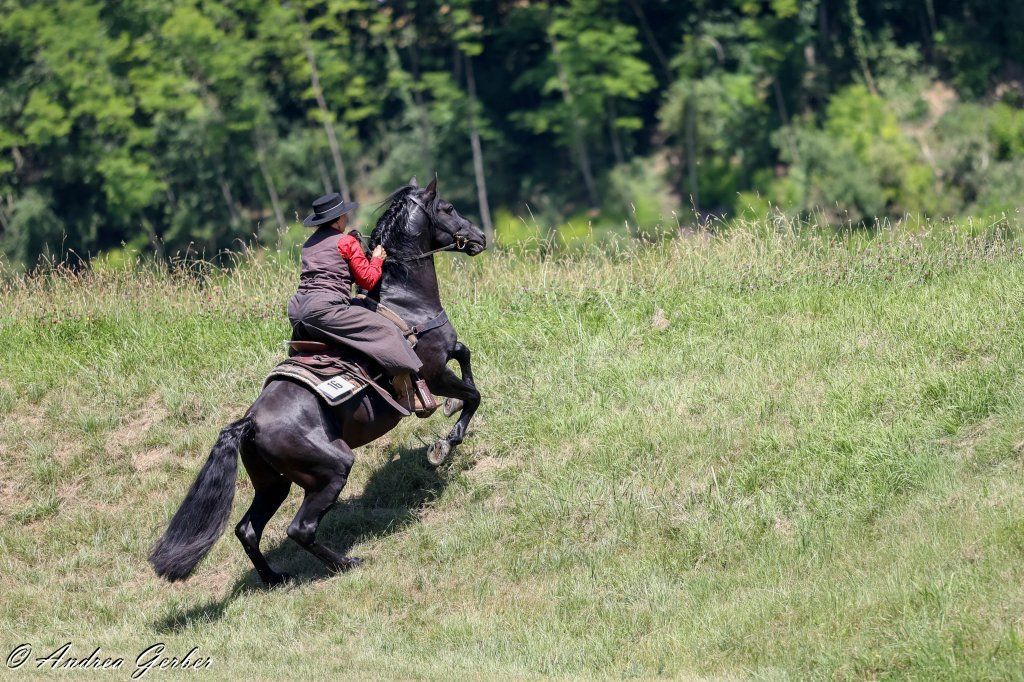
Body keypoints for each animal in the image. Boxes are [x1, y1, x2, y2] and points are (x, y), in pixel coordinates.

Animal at [149, 176, 487, 585]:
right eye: (449, 208)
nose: (479, 237)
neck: (404, 301)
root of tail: (250, 422)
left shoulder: (446, 357)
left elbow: (465, 356)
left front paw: (450, 416)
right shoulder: (434, 373)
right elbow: (473, 394)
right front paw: (444, 445)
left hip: (273, 483)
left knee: (247, 529)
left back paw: (274, 578)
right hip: (332, 469)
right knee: (300, 528)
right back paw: (346, 564)